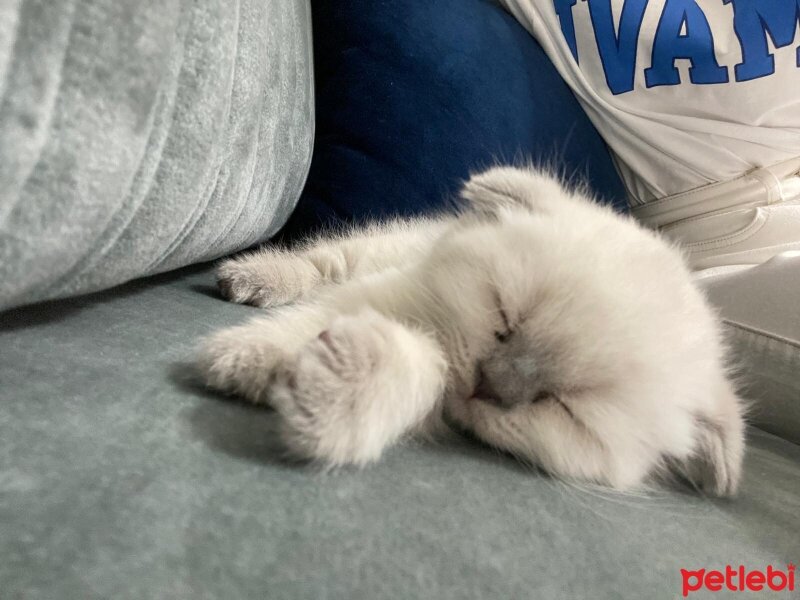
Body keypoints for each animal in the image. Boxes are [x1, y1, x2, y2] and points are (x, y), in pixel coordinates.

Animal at [197, 166, 748, 494]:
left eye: (563, 406)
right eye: (504, 315)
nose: (488, 386)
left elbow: (417, 371)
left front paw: (332, 393)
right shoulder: (393, 290)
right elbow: (309, 321)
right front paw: (250, 357)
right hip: (373, 250)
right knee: (322, 265)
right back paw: (254, 277)